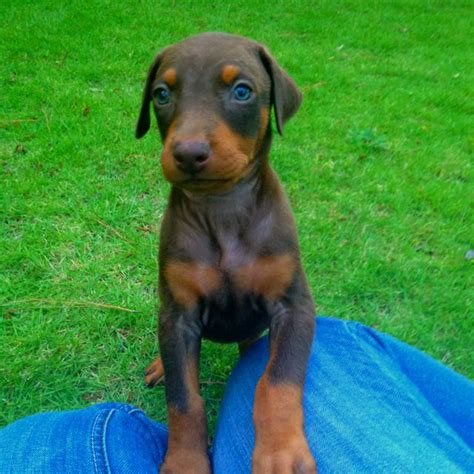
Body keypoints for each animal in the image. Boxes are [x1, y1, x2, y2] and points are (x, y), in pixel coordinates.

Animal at [135, 31, 316, 472]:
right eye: (162, 94)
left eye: (242, 91)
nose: (188, 153)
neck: (222, 208)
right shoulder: (179, 313)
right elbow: (184, 401)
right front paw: (185, 461)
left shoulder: (294, 306)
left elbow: (277, 381)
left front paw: (281, 452)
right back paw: (162, 365)